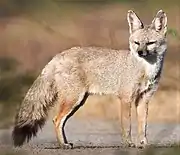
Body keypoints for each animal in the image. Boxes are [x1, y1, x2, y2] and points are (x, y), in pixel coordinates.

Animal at [12, 9, 167, 148]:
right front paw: (129, 143)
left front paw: (144, 144)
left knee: (60, 121)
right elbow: (127, 125)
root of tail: (59, 55)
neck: (146, 70)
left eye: (150, 43)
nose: (140, 52)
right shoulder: (125, 98)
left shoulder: (144, 99)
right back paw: (63, 145)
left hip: (78, 102)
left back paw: (65, 142)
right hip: (73, 100)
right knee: (56, 120)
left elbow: (143, 126)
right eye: (136, 43)